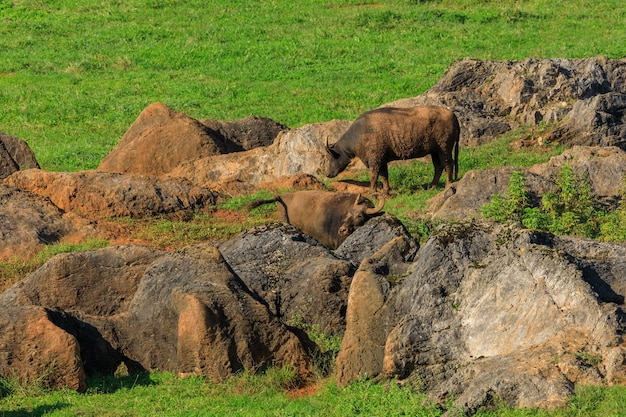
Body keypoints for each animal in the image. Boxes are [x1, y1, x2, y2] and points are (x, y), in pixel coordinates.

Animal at [324, 105, 460, 194]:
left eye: (331, 157)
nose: (328, 174)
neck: (359, 134)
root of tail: (452, 114)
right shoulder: (382, 161)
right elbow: (384, 175)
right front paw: (386, 191)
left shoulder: (375, 161)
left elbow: (374, 176)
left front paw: (373, 193)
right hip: (434, 151)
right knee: (438, 167)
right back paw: (432, 187)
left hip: (444, 149)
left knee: (448, 164)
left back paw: (448, 185)